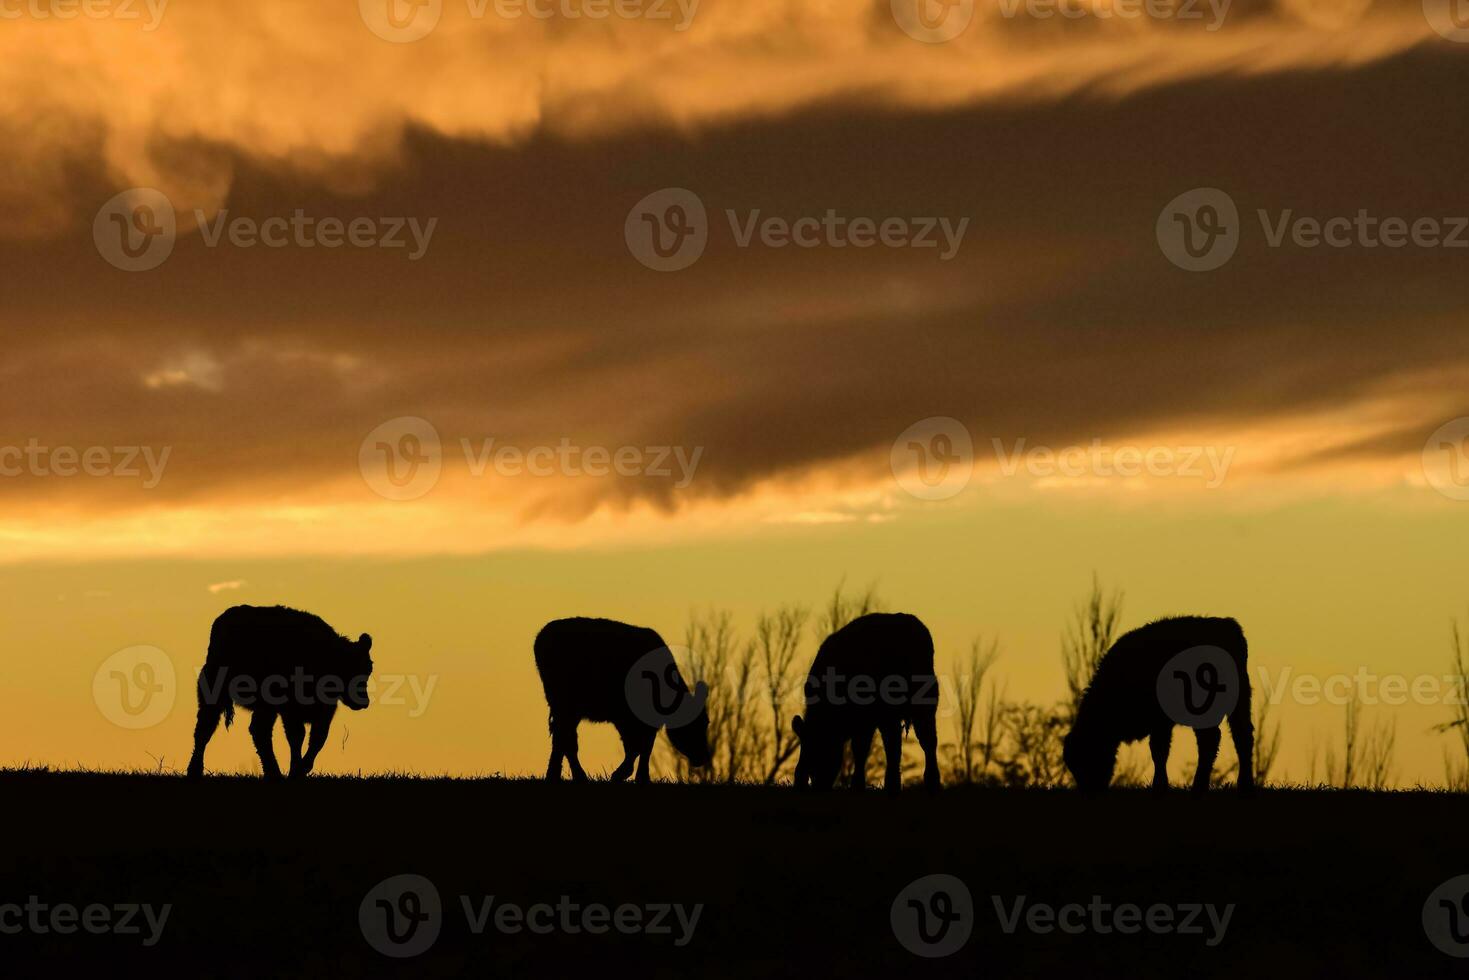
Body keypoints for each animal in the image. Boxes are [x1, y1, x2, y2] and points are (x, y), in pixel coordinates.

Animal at [183, 605, 376, 781]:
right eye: (348, 669)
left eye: (368, 670)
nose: (363, 702)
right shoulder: (290, 710)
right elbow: (297, 736)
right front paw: (296, 770)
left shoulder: (325, 711)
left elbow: (318, 739)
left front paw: (302, 767)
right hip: (214, 693)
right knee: (204, 729)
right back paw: (194, 770)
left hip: (264, 707)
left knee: (259, 731)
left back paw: (273, 772)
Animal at [534, 617, 710, 787]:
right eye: (694, 724)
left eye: (706, 722)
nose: (703, 756)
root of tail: (542, 635)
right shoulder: (627, 718)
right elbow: (636, 746)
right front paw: (624, 774)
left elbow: (644, 747)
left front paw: (641, 777)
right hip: (566, 706)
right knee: (565, 739)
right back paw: (574, 776)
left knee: (562, 739)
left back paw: (557, 776)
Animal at [793, 614, 940, 799]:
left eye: (822, 753)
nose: (818, 787)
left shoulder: (866, 720)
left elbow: (860, 748)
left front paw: (857, 785)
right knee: (896, 745)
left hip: (922, 704)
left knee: (925, 742)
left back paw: (929, 783)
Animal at [1063, 617, 1257, 793]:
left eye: (1088, 755)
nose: (1090, 789)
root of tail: (1227, 626)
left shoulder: (1160, 722)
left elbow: (1159, 751)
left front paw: (1159, 785)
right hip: (1239, 704)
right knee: (1242, 736)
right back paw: (1244, 784)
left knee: (1211, 739)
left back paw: (1200, 786)